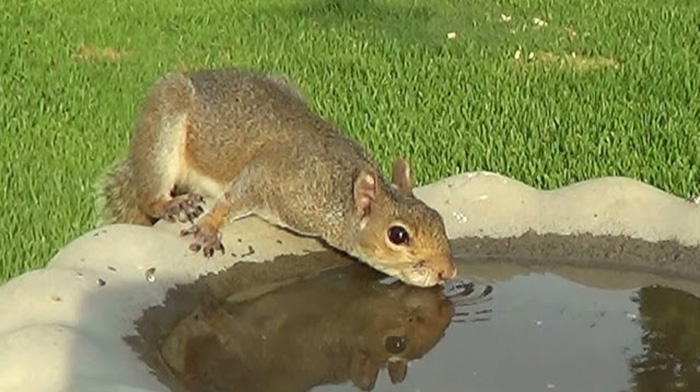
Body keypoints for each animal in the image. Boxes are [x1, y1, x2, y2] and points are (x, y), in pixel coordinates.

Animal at [100, 67, 460, 288]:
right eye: (397, 235)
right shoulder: (272, 175)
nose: (448, 271)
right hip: (165, 121)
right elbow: (234, 197)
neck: (336, 188)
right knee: (151, 192)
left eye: (438, 218)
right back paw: (171, 204)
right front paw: (209, 228)